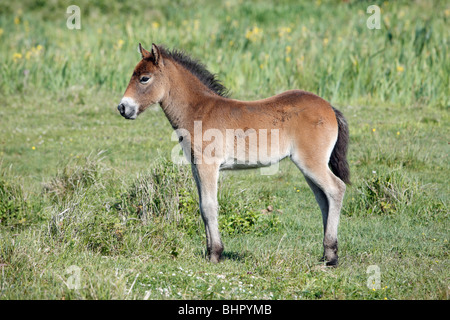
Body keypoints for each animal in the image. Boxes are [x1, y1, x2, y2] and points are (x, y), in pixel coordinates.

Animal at [118, 43, 350, 266]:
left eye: (144, 78)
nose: (122, 108)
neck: (199, 111)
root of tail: (329, 107)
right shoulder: (196, 167)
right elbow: (202, 207)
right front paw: (209, 251)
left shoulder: (208, 166)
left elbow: (209, 206)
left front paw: (215, 254)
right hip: (307, 166)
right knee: (323, 198)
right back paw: (326, 254)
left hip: (311, 162)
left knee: (336, 189)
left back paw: (331, 256)